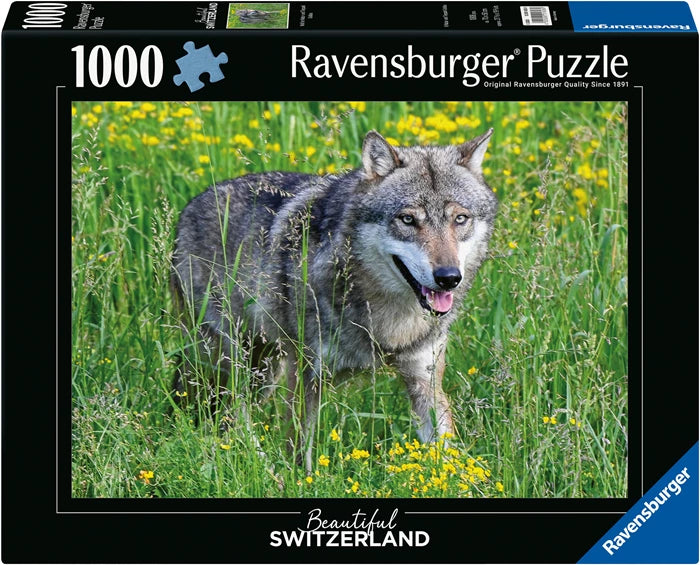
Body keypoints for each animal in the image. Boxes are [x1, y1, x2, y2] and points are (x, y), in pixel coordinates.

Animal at [171, 129, 498, 471]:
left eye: (460, 219)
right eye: (408, 219)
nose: (448, 277)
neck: (389, 319)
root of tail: (189, 208)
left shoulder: (426, 380)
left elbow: (447, 454)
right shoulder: (305, 375)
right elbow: (298, 449)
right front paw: (298, 479)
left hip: (264, 370)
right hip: (234, 362)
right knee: (230, 413)